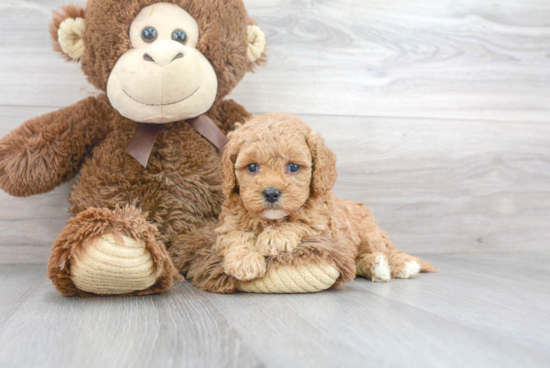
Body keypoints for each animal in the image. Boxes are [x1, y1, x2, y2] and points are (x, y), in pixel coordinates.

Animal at [213, 112, 438, 284]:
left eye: (293, 167)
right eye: (252, 167)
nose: (271, 193)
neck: (272, 219)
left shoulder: (321, 227)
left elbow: (299, 223)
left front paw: (275, 236)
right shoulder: (227, 225)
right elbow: (236, 236)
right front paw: (244, 261)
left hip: (368, 232)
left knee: (383, 249)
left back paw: (404, 264)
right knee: (356, 260)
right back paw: (376, 266)